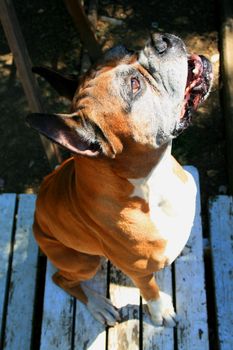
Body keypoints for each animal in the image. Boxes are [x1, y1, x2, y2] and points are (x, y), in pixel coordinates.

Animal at [26, 33, 212, 328]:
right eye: (135, 85)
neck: (153, 181)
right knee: (62, 279)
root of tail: (35, 225)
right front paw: (160, 311)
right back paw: (99, 305)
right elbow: (150, 289)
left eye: (126, 49)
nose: (160, 39)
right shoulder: (138, 271)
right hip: (83, 261)